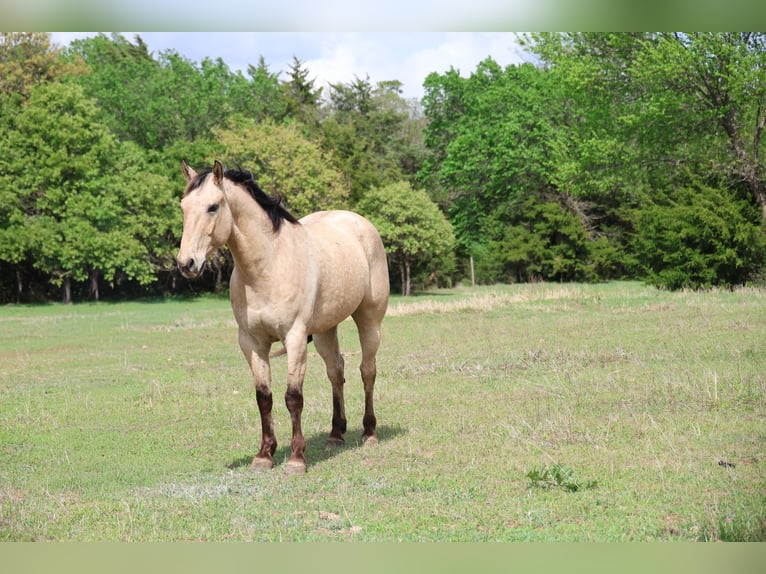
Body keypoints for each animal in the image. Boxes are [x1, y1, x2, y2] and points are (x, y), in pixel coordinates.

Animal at [176, 160, 389, 474]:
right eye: (183, 207)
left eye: (213, 207)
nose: (187, 263)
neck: (269, 265)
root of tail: (360, 223)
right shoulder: (252, 343)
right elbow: (264, 398)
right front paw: (264, 455)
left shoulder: (295, 338)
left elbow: (293, 397)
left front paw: (297, 458)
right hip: (325, 329)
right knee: (335, 372)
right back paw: (335, 435)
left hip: (369, 321)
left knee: (367, 371)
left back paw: (369, 433)